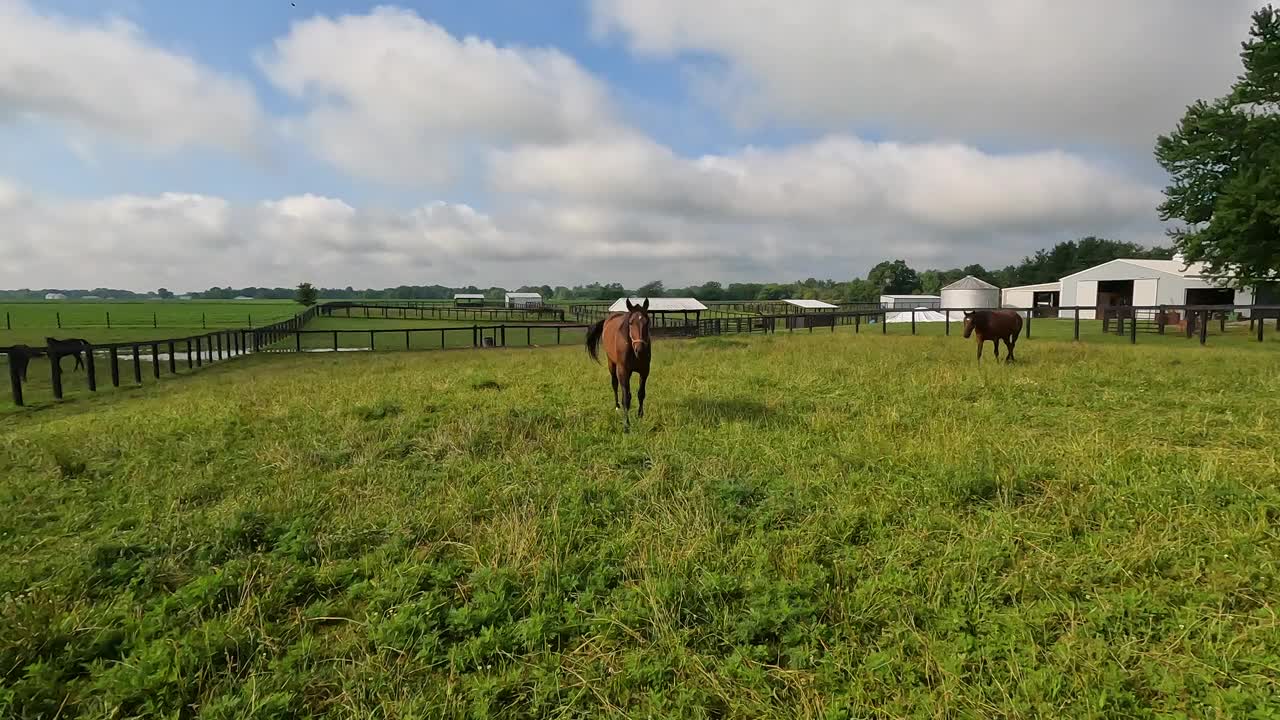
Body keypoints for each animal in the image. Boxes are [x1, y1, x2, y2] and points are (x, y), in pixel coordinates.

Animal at [586, 298, 655, 430]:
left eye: (647, 322)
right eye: (631, 323)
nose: (640, 350)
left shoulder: (644, 371)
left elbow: (641, 393)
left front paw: (640, 416)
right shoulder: (623, 371)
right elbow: (626, 398)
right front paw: (626, 425)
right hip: (612, 364)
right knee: (614, 384)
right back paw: (617, 406)